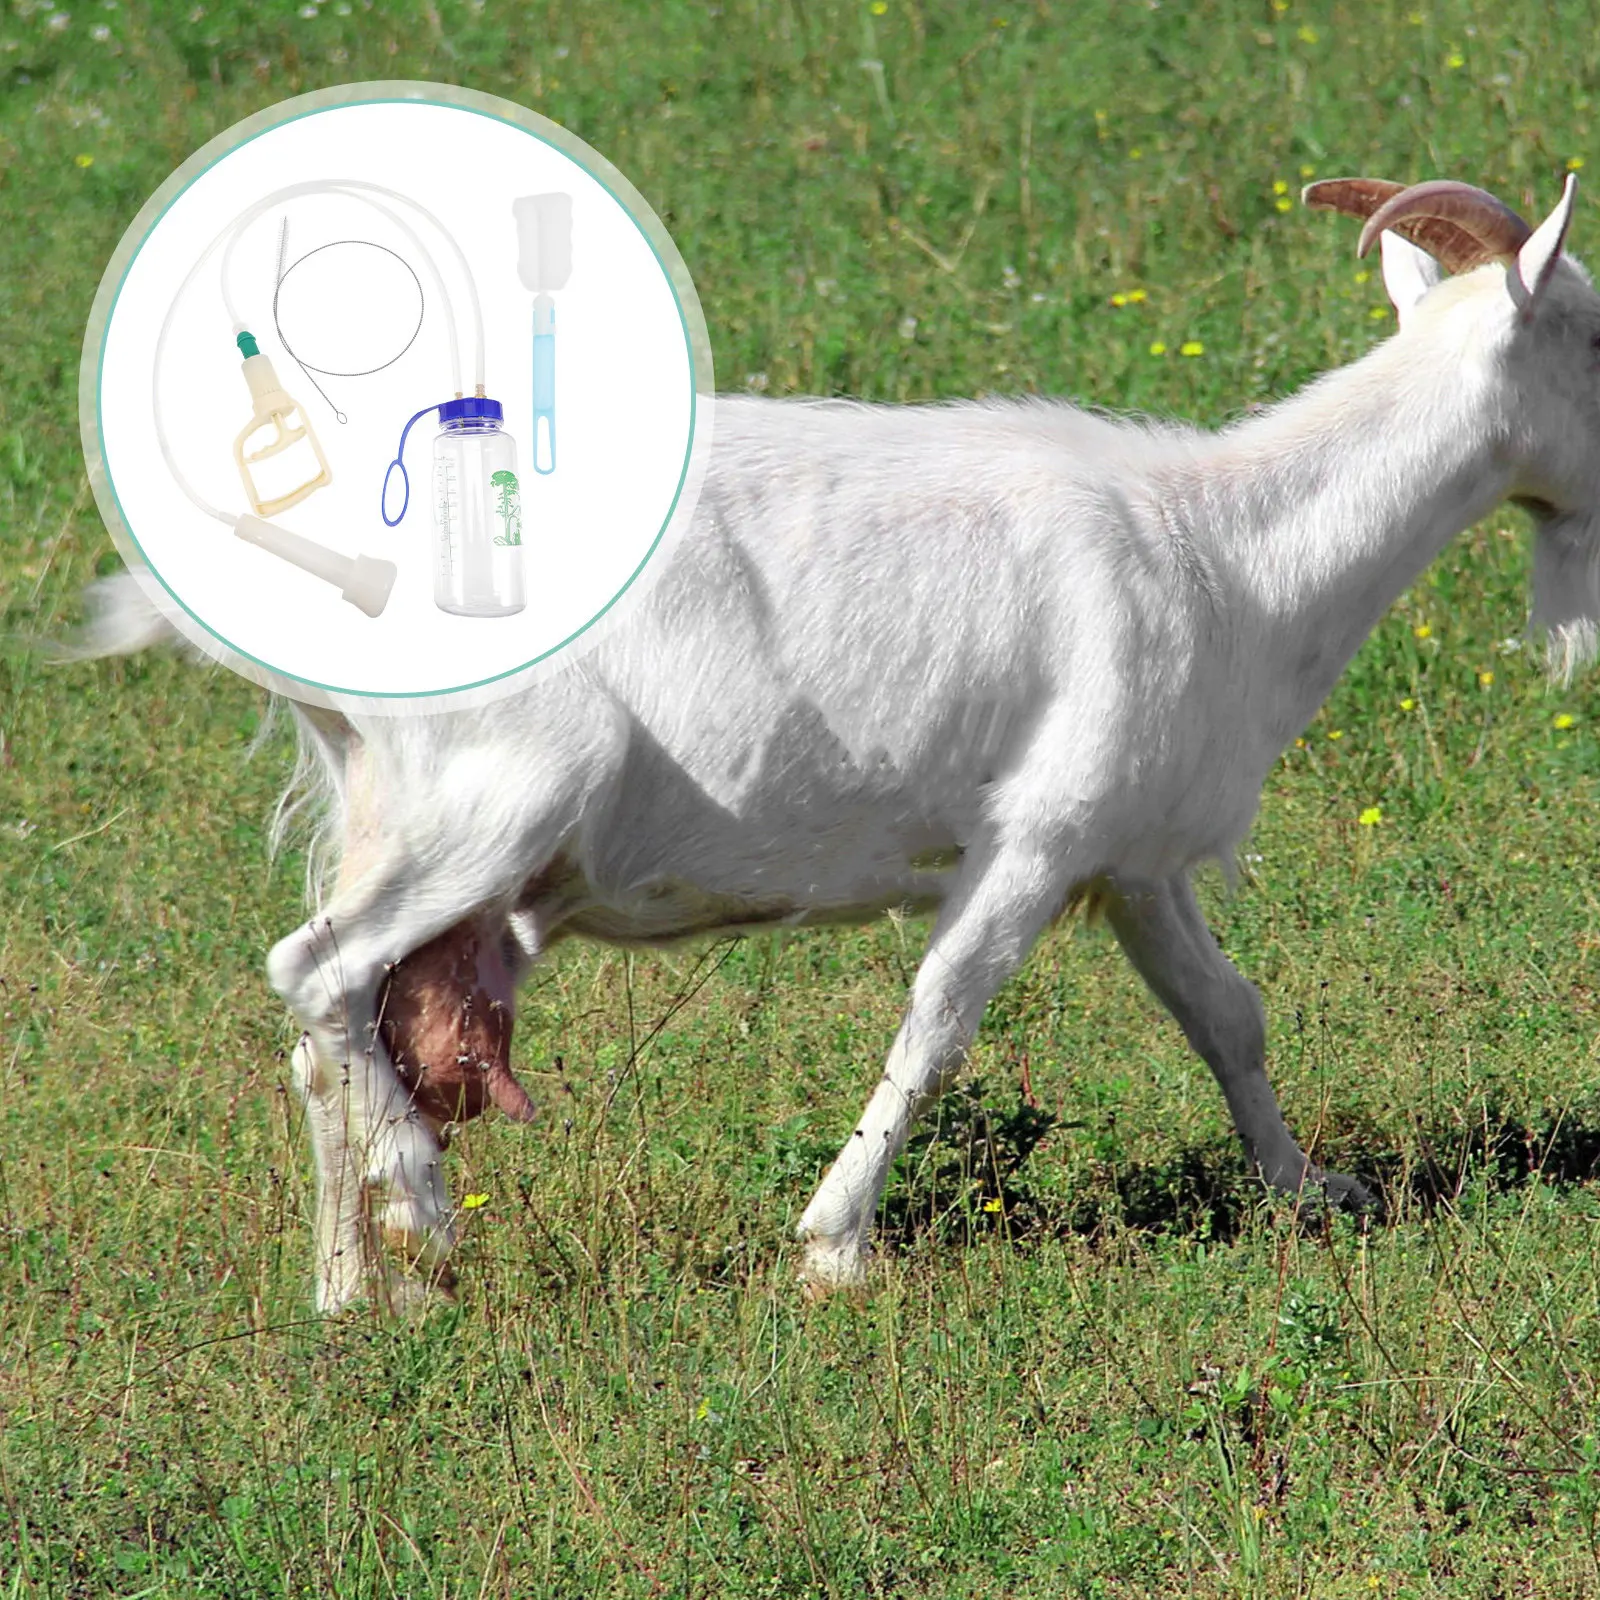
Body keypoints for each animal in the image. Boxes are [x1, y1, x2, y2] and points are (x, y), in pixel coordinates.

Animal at [81, 173, 1600, 1314]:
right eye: (1592, 333)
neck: (1225, 551)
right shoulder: (1034, 833)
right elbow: (938, 1018)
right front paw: (834, 1248)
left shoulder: (1129, 850)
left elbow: (1227, 1014)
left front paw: (1309, 1190)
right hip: (491, 799)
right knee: (317, 973)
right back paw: (426, 1212)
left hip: (387, 808)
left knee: (328, 1034)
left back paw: (355, 1291)